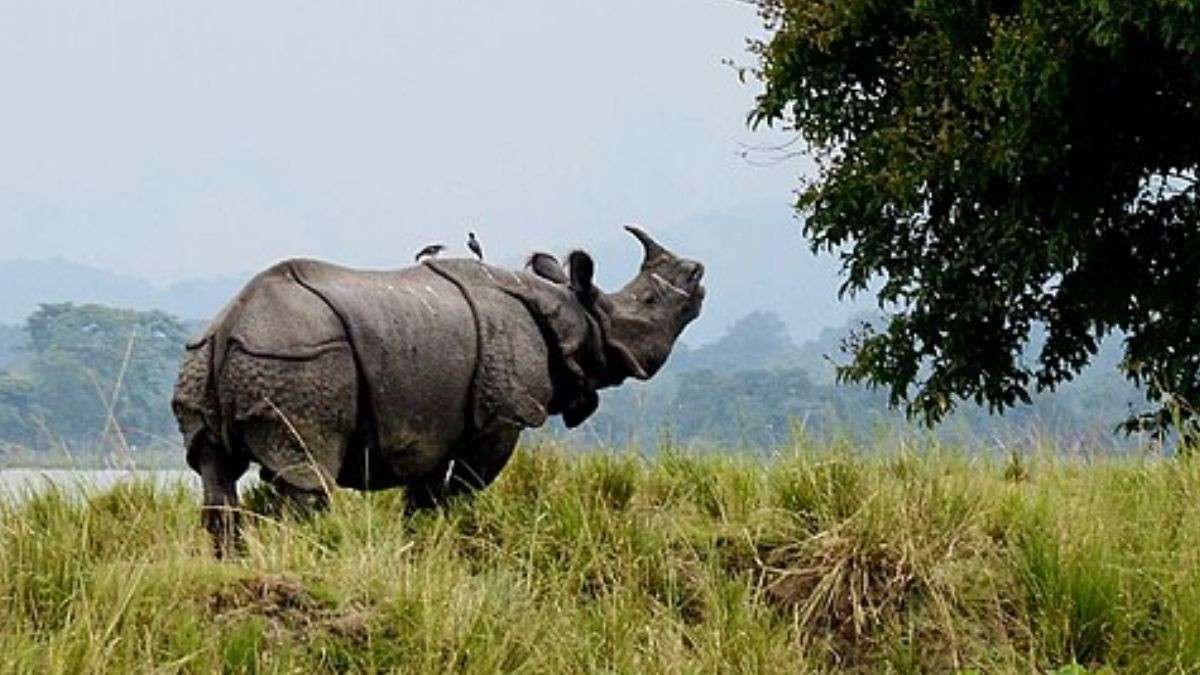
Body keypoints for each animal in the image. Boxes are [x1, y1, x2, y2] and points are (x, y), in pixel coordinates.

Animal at [172, 226, 705, 555]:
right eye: (649, 302)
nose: (698, 276)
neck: (567, 307)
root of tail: (232, 323)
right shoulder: (502, 415)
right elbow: (469, 484)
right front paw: (462, 534)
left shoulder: (430, 421)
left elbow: (423, 494)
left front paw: (420, 545)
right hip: (297, 358)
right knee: (307, 474)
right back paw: (308, 554)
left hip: (202, 358)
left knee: (213, 467)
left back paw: (232, 560)